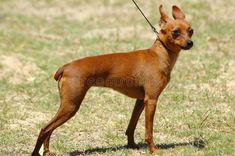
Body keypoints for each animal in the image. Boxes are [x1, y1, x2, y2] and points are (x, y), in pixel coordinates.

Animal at [32, 4, 194, 155]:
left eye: (191, 31)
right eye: (175, 32)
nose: (190, 43)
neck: (159, 55)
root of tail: (65, 67)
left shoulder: (141, 100)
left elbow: (132, 125)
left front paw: (131, 145)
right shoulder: (151, 100)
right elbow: (149, 130)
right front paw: (153, 149)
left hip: (67, 105)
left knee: (49, 129)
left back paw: (47, 151)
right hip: (71, 106)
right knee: (45, 129)